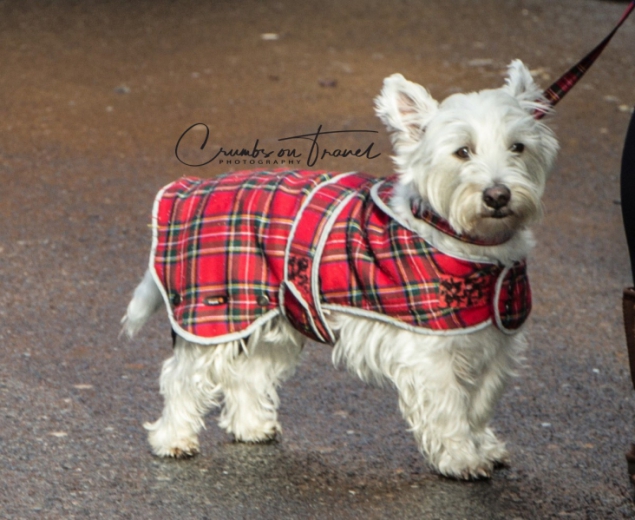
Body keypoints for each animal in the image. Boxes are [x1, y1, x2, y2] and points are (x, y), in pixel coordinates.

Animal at [123, 60, 556, 480]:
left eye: (518, 147)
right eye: (463, 151)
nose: (498, 195)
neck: (471, 245)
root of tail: (189, 189)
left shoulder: (496, 344)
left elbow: (480, 403)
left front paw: (484, 448)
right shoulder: (430, 353)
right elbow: (450, 407)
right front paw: (462, 459)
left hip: (275, 315)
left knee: (248, 372)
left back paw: (251, 427)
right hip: (215, 316)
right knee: (182, 376)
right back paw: (172, 439)